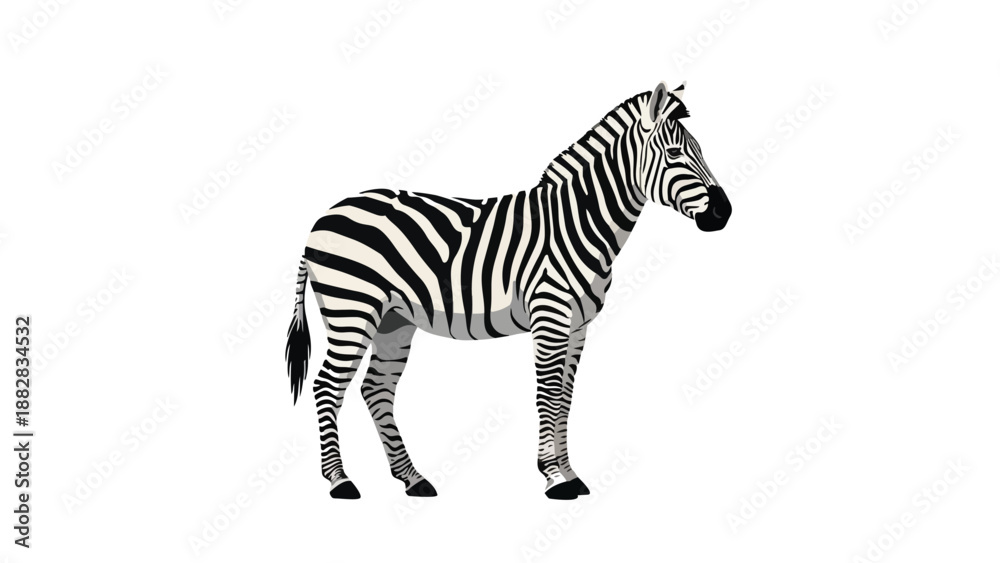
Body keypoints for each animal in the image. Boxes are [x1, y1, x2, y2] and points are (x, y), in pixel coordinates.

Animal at [285, 81, 731, 500]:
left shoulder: (578, 325)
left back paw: (413, 478)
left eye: (699, 150)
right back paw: (340, 481)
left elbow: (566, 395)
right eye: (674, 154)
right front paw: (553, 477)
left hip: (393, 321)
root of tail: (323, 217)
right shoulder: (550, 315)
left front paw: (570, 473)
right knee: (328, 385)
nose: (723, 212)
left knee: (375, 389)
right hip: (352, 310)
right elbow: (548, 393)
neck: (578, 222)